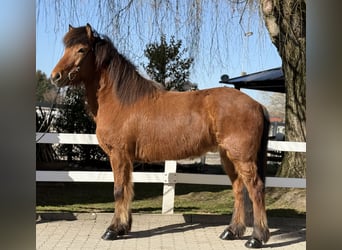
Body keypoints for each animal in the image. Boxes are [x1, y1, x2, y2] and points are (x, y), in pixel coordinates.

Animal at [50, 23, 270, 248]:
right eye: (66, 48)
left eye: (81, 50)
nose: (55, 76)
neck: (122, 101)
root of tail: (257, 105)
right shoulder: (127, 159)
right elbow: (128, 189)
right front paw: (123, 227)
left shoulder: (118, 155)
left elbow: (119, 190)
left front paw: (112, 230)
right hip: (228, 157)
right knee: (238, 189)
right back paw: (232, 231)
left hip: (242, 157)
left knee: (255, 189)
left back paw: (257, 237)